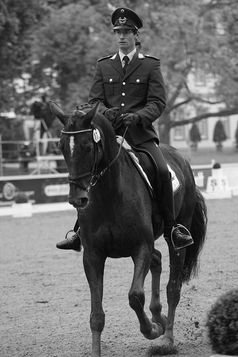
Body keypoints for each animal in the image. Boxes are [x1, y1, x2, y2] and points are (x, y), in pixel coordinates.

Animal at [48, 101, 206, 356]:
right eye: (62, 147)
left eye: (87, 146)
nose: (77, 199)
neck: (110, 194)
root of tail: (180, 158)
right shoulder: (93, 255)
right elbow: (96, 315)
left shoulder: (140, 247)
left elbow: (135, 296)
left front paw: (152, 330)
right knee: (157, 260)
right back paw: (159, 317)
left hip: (175, 237)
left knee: (173, 287)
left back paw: (167, 337)